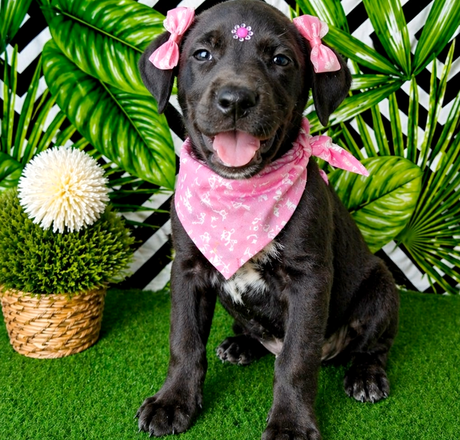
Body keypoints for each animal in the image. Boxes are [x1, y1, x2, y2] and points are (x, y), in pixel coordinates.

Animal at [136, 1, 399, 439]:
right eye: (202, 54)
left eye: (280, 60)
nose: (235, 100)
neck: (240, 197)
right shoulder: (187, 269)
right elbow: (184, 341)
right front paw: (172, 402)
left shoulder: (309, 280)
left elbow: (296, 358)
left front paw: (290, 423)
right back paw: (240, 344)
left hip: (381, 287)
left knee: (372, 346)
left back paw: (366, 376)